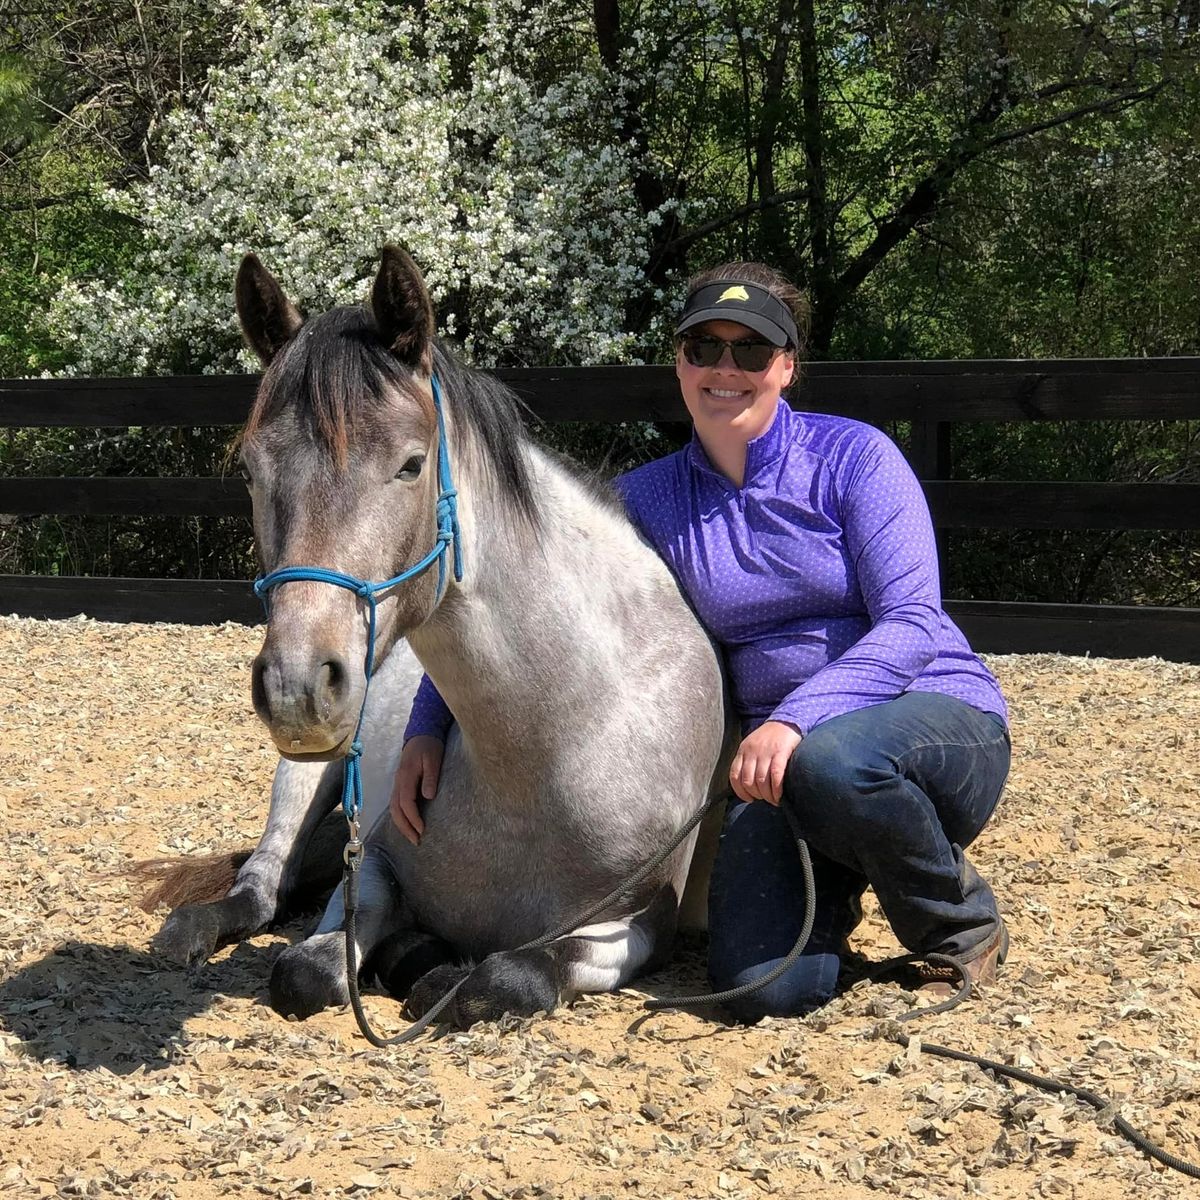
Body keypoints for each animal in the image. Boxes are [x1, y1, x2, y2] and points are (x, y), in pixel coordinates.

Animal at [152, 243, 729, 1022]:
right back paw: (193, 929)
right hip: (307, 772)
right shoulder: (373, 864)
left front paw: (442, 976)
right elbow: (307, 970)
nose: (298, 686)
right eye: (249, 468)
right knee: (261, 885)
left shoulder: (638, 924)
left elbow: (510, 978)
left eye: (411, 464)